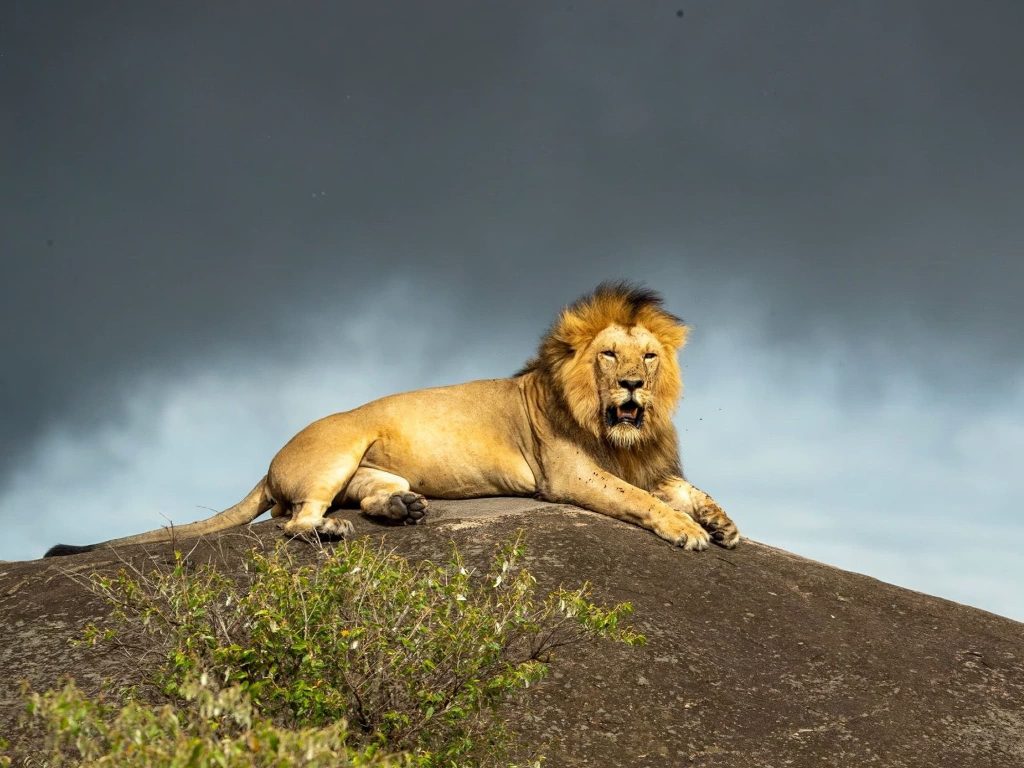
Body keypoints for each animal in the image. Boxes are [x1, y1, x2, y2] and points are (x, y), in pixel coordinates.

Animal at [45, 282, 739, 558]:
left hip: (373, 468)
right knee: (293, 520)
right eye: (609, 355)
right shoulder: (571, 477)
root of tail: (269, 463)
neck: (618, 432)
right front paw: (687, 532)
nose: (632, 385)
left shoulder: (651, 461)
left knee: (360, 496)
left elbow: (689, 488)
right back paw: (330, 531)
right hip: (338, 446)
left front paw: (724, 524)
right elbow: (641, 501)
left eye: (649, 356)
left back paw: (404, 509)